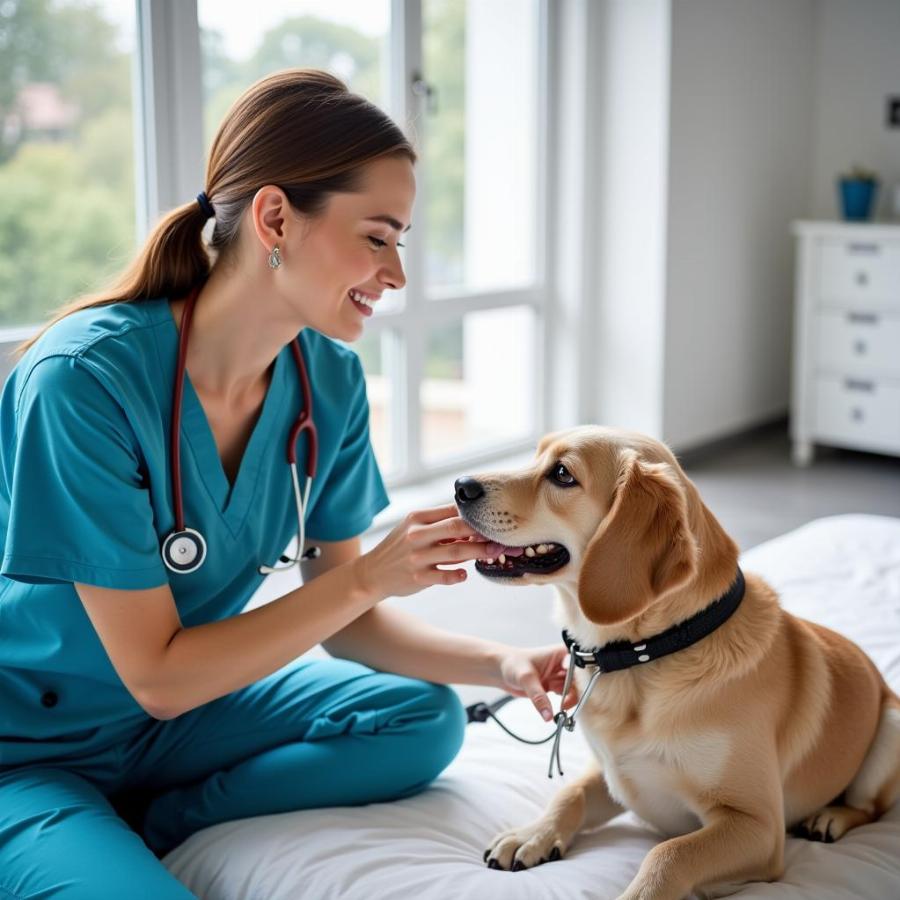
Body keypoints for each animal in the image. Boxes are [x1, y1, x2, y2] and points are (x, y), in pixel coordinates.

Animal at [458, 426, 900, 900]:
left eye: (562, 474)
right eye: (537, 454)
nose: (460, 486)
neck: (650, 652)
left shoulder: (758, 825)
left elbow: (670, 853)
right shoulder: (616, 773)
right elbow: (568, 794)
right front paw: (533, 834)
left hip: (891, 726)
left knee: (870, 808)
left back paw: (831, 817)